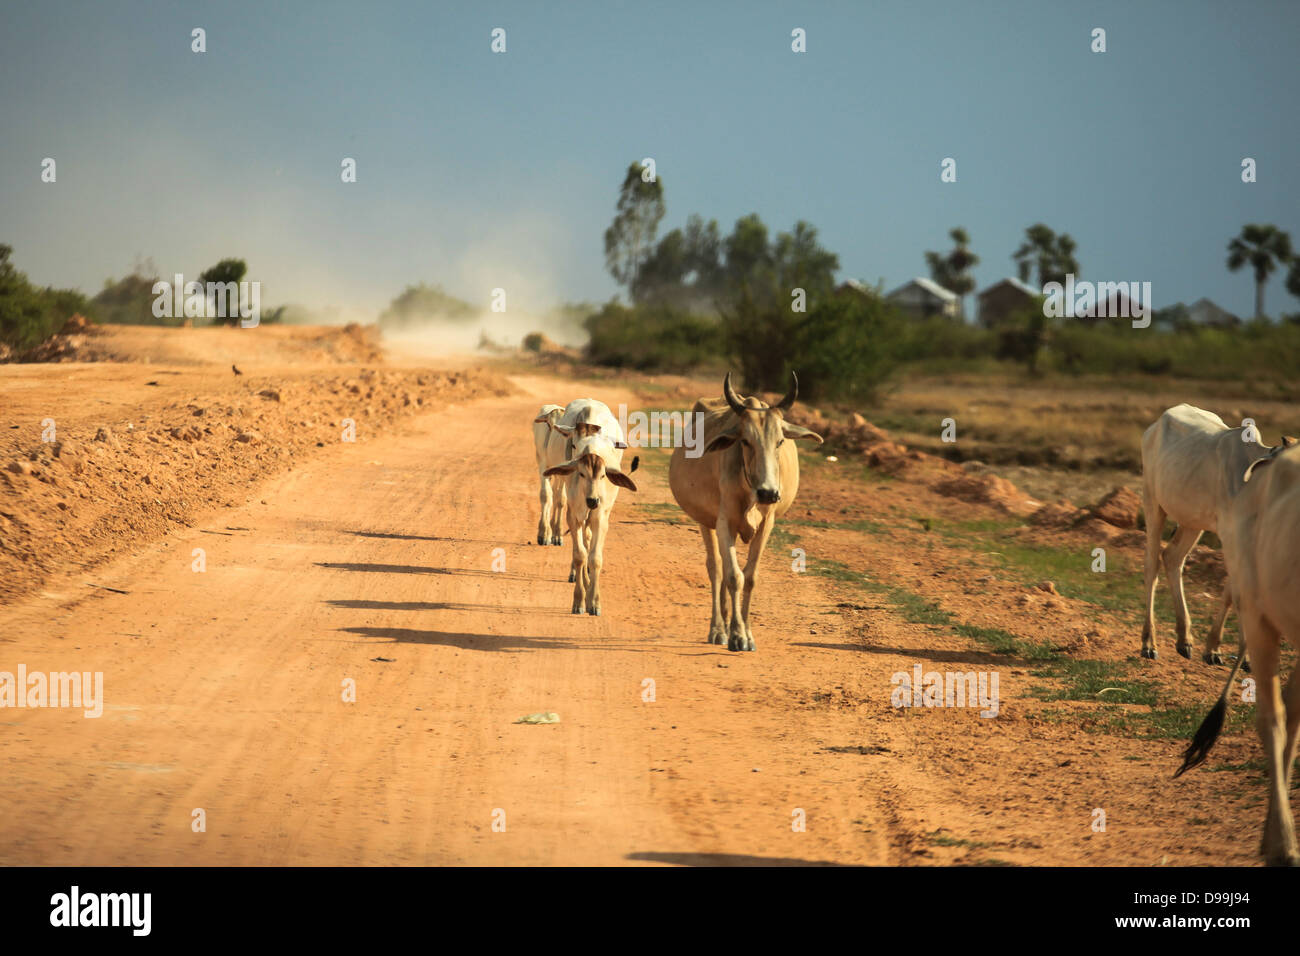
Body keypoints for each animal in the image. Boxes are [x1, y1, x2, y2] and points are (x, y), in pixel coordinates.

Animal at [543, 433, 637, 615]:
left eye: (603, 476)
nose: (593, 500)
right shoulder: (574, 518)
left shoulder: (599, 520)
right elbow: (580, 555)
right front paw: (579, 600)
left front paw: (594, 602)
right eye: (581, 474)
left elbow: (595, 558)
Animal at [668, 372, 823, 652]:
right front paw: (737, 635)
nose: (769, 493)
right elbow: (732, 576)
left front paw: (747, 633)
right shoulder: (724, 523)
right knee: (715, 568)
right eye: (745, 441)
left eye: (780, 441)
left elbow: (750, 577)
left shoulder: (766, 525)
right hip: (705, 521)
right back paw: (719, 629)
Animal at [1140, 404, 1292, 662]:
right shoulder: (1230, 536)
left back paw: (1184, 640)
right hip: (1153, 503)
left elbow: (1234, 591)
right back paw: (1149, 643)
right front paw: (1237, 655)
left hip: (1192, 521)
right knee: (1152, 566)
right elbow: (1238, 594)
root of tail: (1153, 427)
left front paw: (1216, 648)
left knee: (1172, 558)